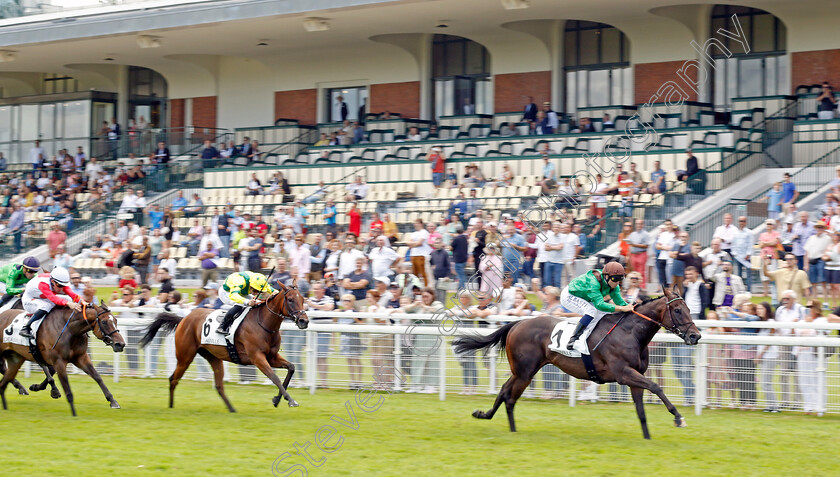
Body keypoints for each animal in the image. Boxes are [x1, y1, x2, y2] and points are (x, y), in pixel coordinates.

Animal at [139, 280, 310, 410]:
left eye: (302, 299)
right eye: (290, 300)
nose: (304, 321)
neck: (263, 322)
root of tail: (183, 319)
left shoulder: (271, 357)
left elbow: (291, 368)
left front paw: (277, 399)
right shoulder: (257, 357)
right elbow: (274, 377)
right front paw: (291, 400)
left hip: (213, 357)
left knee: (219, 385)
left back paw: (232, 409)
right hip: (185, 356)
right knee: (173, 379)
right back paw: (171, 407)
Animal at [452, 286, 704, 438]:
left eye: (689, 308)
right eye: (678, 310)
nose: (696, 336)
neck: (630, 333)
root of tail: (517, 323)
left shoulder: (634, 377)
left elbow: (641, 410)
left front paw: (648, 437)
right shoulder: (624, 373)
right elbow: (656, 386)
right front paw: (678, 417)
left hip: (523, 371)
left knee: (505, 392)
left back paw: (492, 418)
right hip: (525, 372)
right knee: (509, 395)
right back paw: (505, 425)